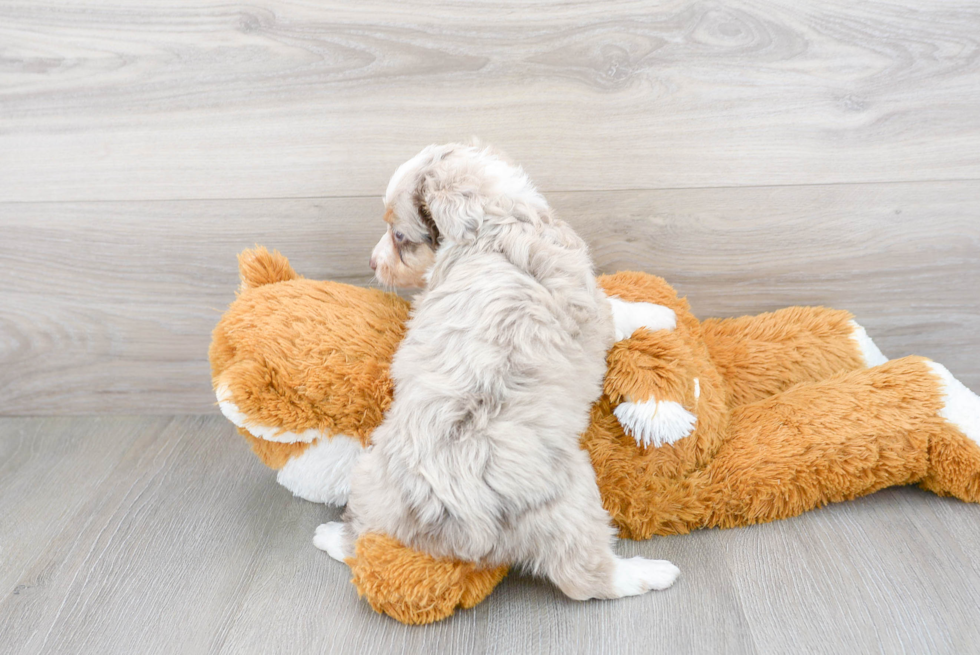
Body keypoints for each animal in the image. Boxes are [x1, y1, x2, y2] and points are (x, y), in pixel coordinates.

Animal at [318, 142, 676, 600]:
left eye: (399, 237)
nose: (371, 262)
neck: (491, 219)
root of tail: (445, 516)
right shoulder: (592, 302)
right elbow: (619, 309)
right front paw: (659, 313)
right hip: (567, 498)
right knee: (584, 576)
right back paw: (650, 573)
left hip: (371, 478)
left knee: (362, 537)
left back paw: (329, 535)